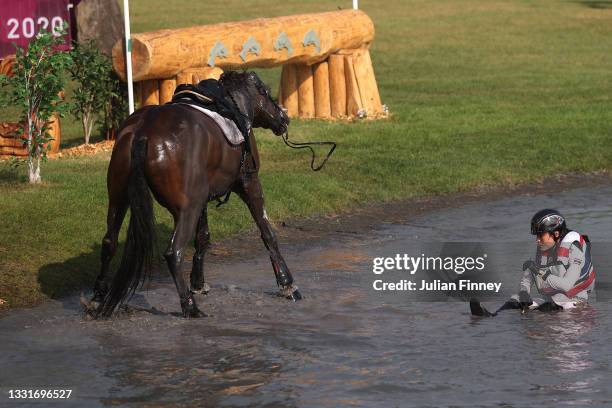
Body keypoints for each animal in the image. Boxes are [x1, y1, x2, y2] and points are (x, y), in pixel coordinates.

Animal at [87, 70, 302, 318]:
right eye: (265, 92)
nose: (284, 117)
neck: (234, 107)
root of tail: (142, 132)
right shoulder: (248, 182)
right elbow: (267, 232)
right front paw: (287, 284)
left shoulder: (203, 199)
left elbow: (203, 238)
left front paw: (198, 283)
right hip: (187, 208)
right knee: (174, 252)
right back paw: (189, 306)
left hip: (119, 197)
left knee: (109, 242)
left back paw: (97, 297)